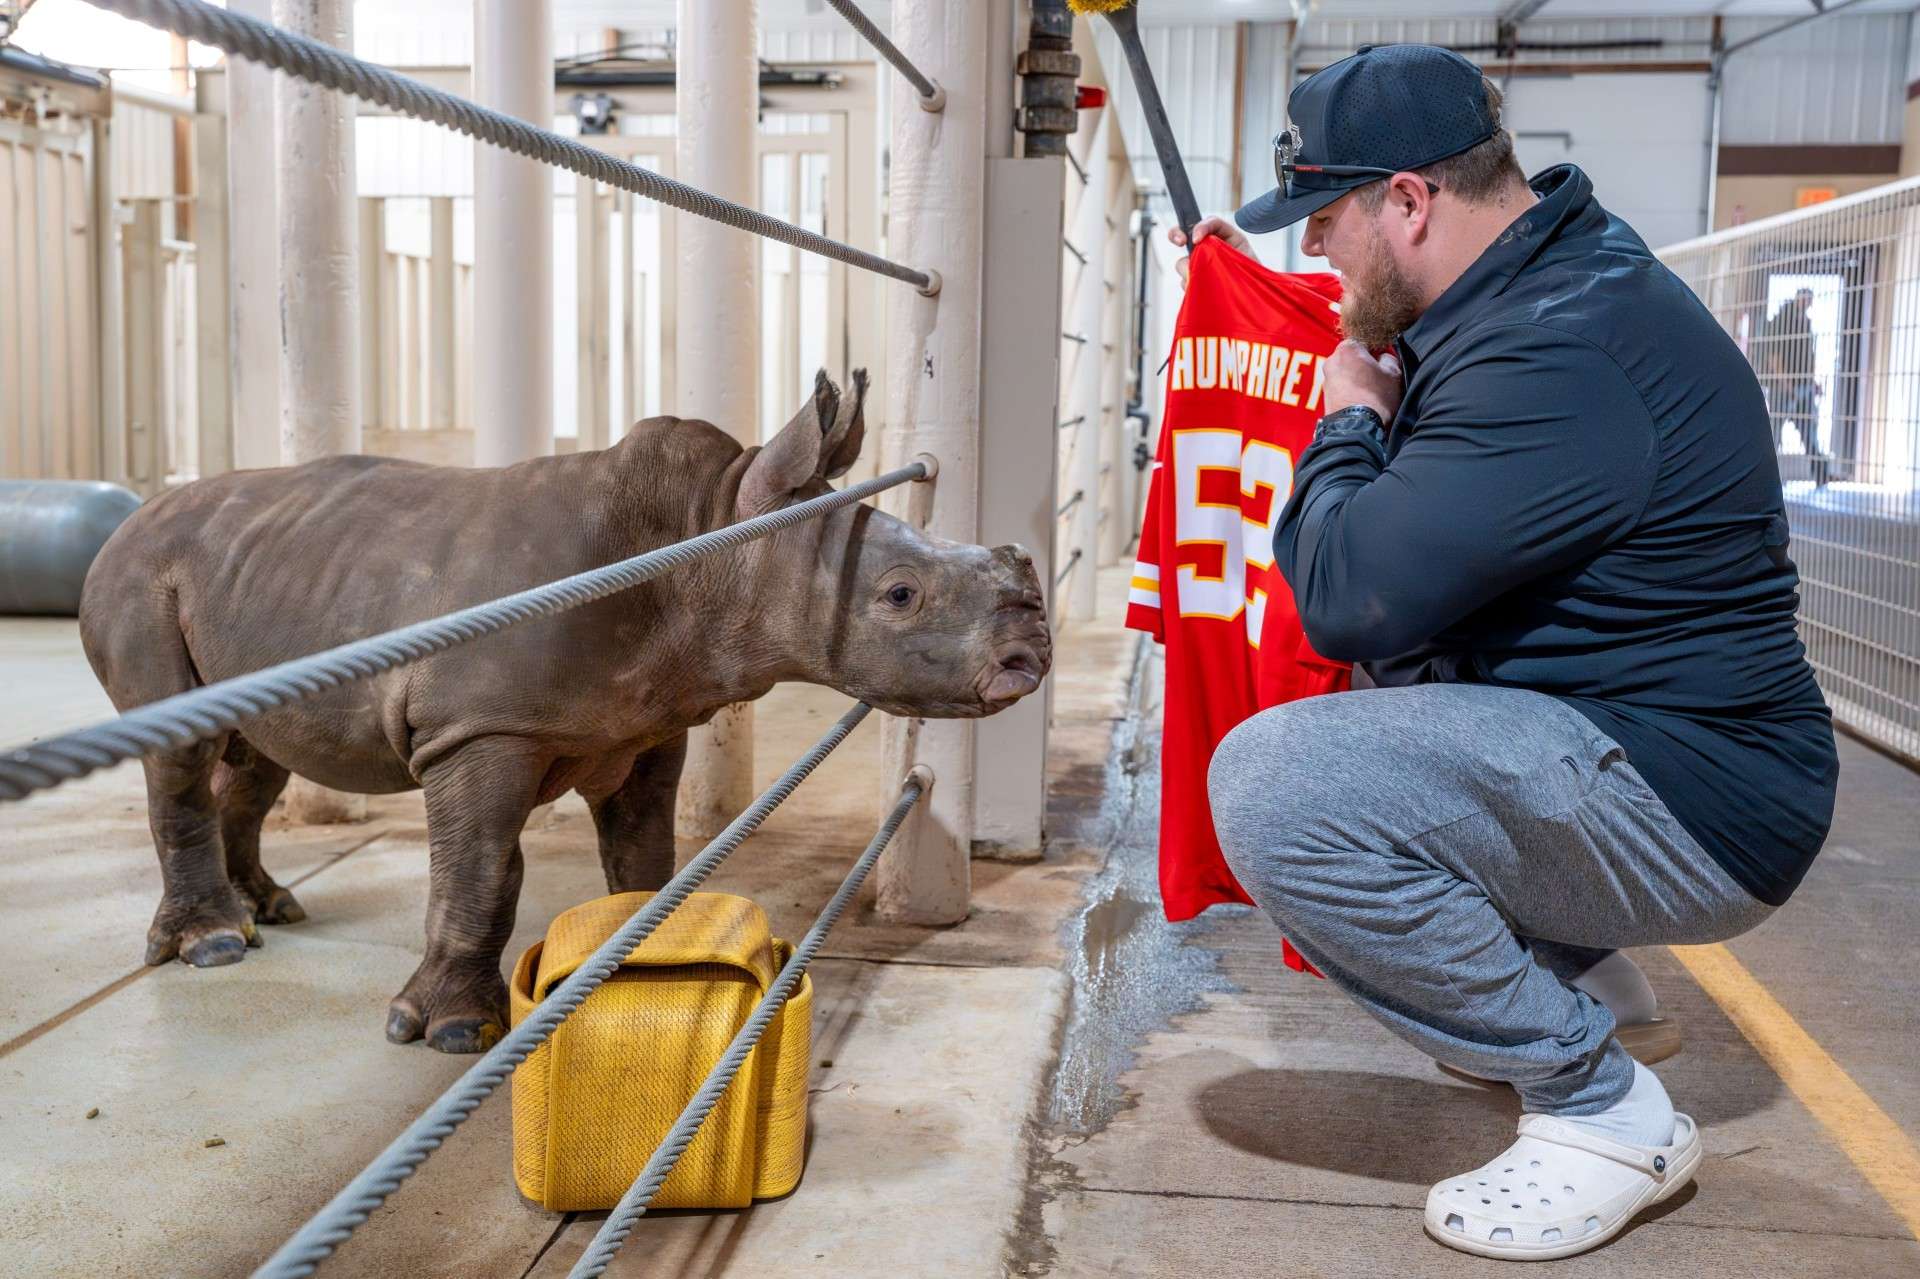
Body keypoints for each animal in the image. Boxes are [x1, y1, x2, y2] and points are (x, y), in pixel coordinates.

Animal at [79, 370, 1050, 1052]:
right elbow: (480, 873)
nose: (1032, 650)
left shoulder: (650, 721)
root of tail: (131, 519)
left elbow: (642, 852)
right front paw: (449, 1032)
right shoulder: (477, 730)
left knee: (258, 758)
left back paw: (270, 909)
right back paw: (215, 945)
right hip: (142, 576)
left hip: (251, 576)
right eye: (900, 595)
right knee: (181, 750)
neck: (708, 538)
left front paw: (640, 963)